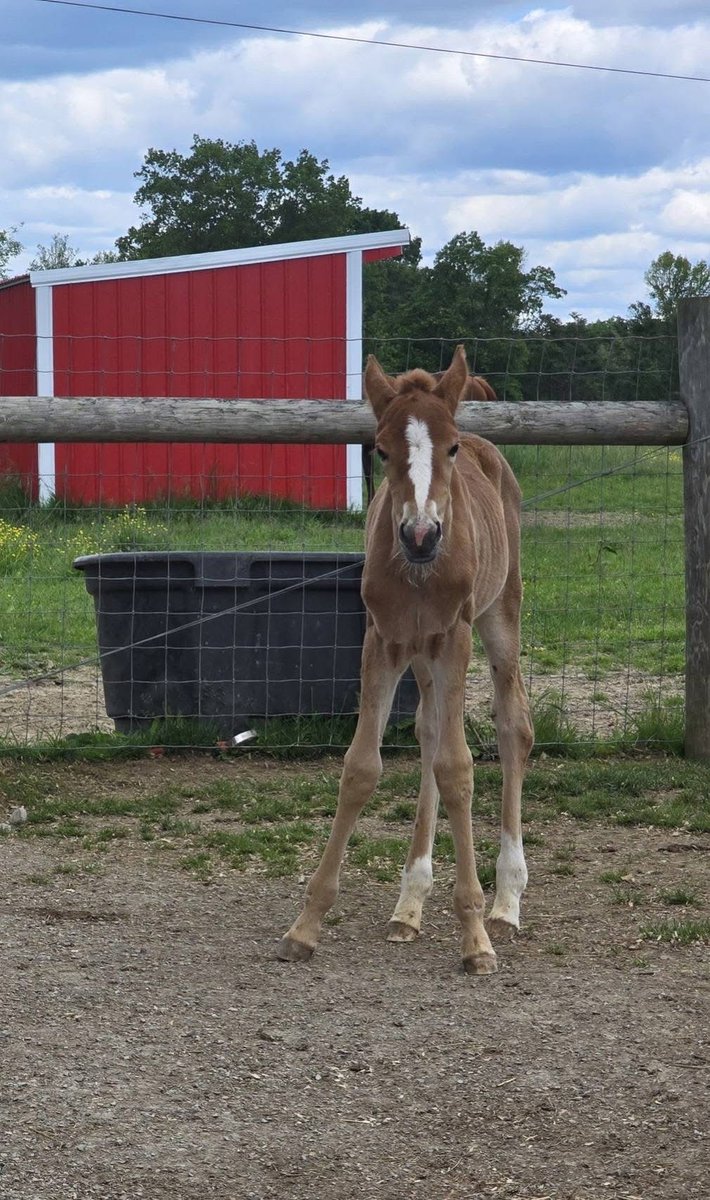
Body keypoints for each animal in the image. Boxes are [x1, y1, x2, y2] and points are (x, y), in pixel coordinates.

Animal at [278, 345, 533, 974]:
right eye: (380, 449)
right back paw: (409, 905)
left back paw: (506, 903)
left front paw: (475, 938)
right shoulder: (384, 641)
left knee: (513, 726)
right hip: (422, 657)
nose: (421, 535)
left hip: (500, 616)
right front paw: (306, 925)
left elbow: (459, 769)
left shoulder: (454, 637)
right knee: (428, 733)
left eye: (451, 448)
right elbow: (361, 768)